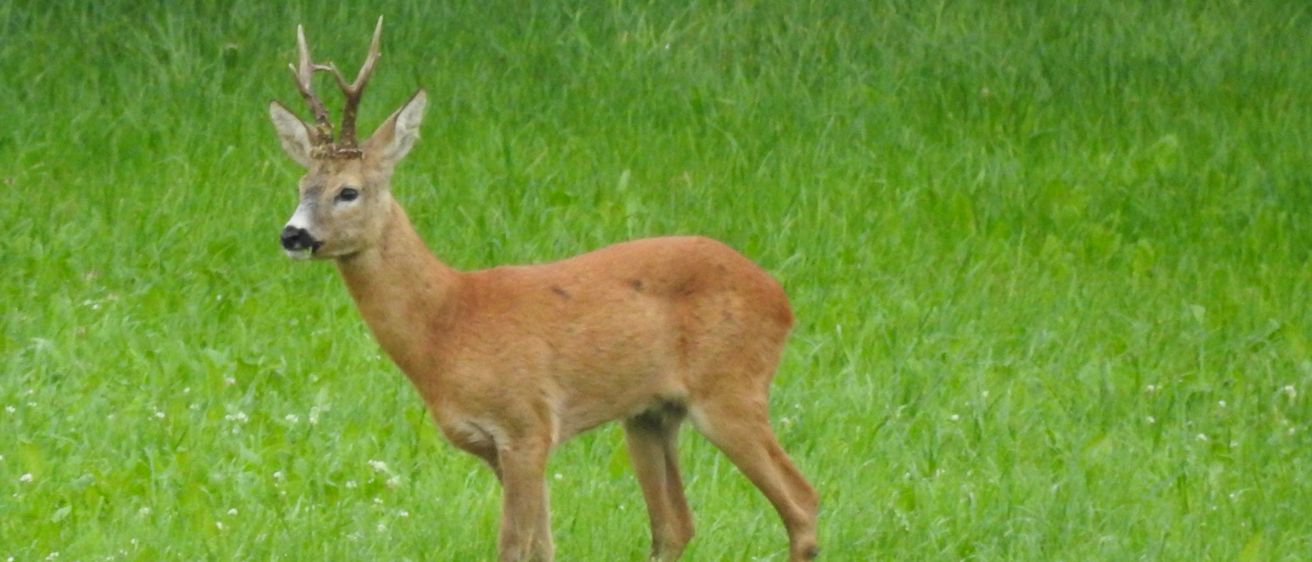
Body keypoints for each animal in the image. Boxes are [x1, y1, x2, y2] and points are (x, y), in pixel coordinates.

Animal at [267, 18, 819, 562]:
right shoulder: (501, 445)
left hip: (730, 388)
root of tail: (781, 299)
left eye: (348, 191)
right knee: (675, 524)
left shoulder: (526, 425)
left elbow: (514, 546)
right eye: (301, 186)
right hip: (650, 413)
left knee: (802, 502)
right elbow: (543, 545)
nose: (293, 235)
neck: (446, 325)